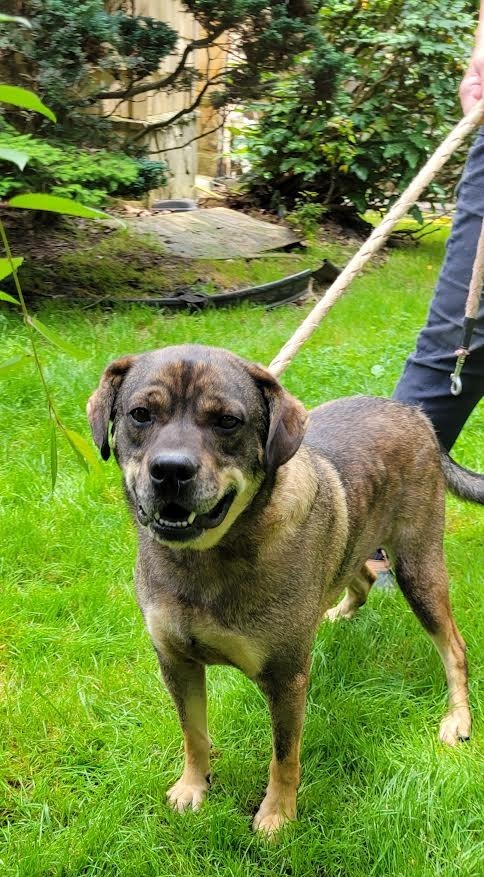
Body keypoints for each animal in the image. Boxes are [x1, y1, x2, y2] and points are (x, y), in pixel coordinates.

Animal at [88, 344, 484, 836]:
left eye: (227, 421)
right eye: (140, 414)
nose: (171, 471)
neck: (205, 561)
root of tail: (414, 414)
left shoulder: (286, 678)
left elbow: (284, 756)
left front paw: (277, 816)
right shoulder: (176, 662)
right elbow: (193, 733)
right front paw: (193, 787)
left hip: (419, 569)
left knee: (454, 647)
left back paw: (458, 718)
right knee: (362, 576)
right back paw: (337, 613)